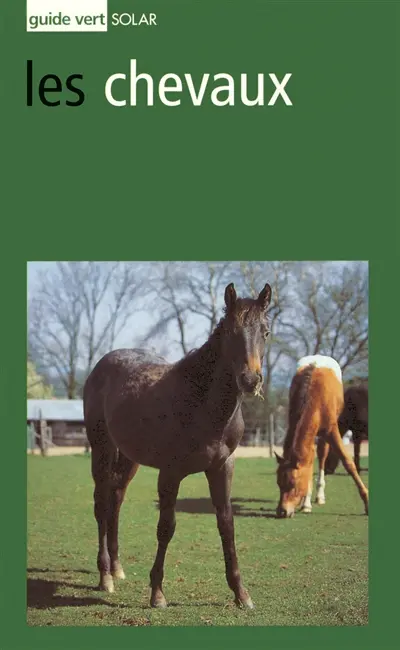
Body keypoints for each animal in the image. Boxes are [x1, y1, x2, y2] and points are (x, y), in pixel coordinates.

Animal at [83, 281, 271, 609]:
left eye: (266, 331)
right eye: (231, 332)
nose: (250, 380)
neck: (201, 403)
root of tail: (100, 367)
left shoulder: (222, 467)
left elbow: (226, 524)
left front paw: (241, 593)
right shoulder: (170, 473)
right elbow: (166, 527)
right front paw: (157, 594)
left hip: (129, 458)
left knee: (116, 500)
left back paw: (117, 568)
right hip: (102, 449)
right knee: (102, 504)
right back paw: (105, 575)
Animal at [274, 355, 369, 518]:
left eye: (293, 483)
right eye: (278, 483)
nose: (282, 511)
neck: (314, 396)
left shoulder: (331, 430)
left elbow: (348, 462)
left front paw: (367, 502)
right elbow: (308, 462)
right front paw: (306, 503)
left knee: (322, 454)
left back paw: (319, 496)